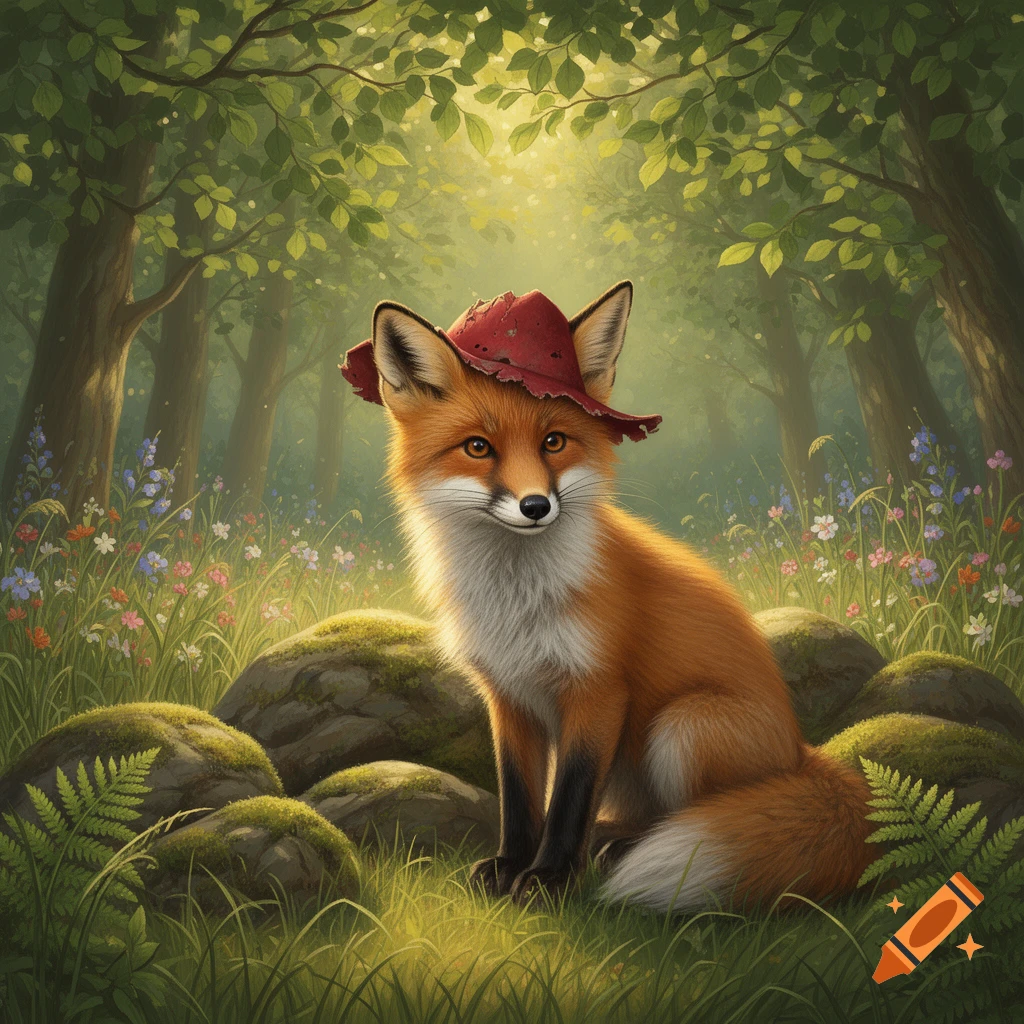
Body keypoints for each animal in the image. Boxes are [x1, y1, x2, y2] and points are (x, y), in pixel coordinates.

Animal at [347, 280, 875, 912]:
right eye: (477, 447)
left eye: (554, 442)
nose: (535, 506)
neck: (517, 602)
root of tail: (802, 752)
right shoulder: (508, 695)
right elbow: (520, 798)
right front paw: (510, 865)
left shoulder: (598, 690)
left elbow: (570, 798)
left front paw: (548, 878)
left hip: (684, 725)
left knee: (694, 814)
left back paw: (627, 850)